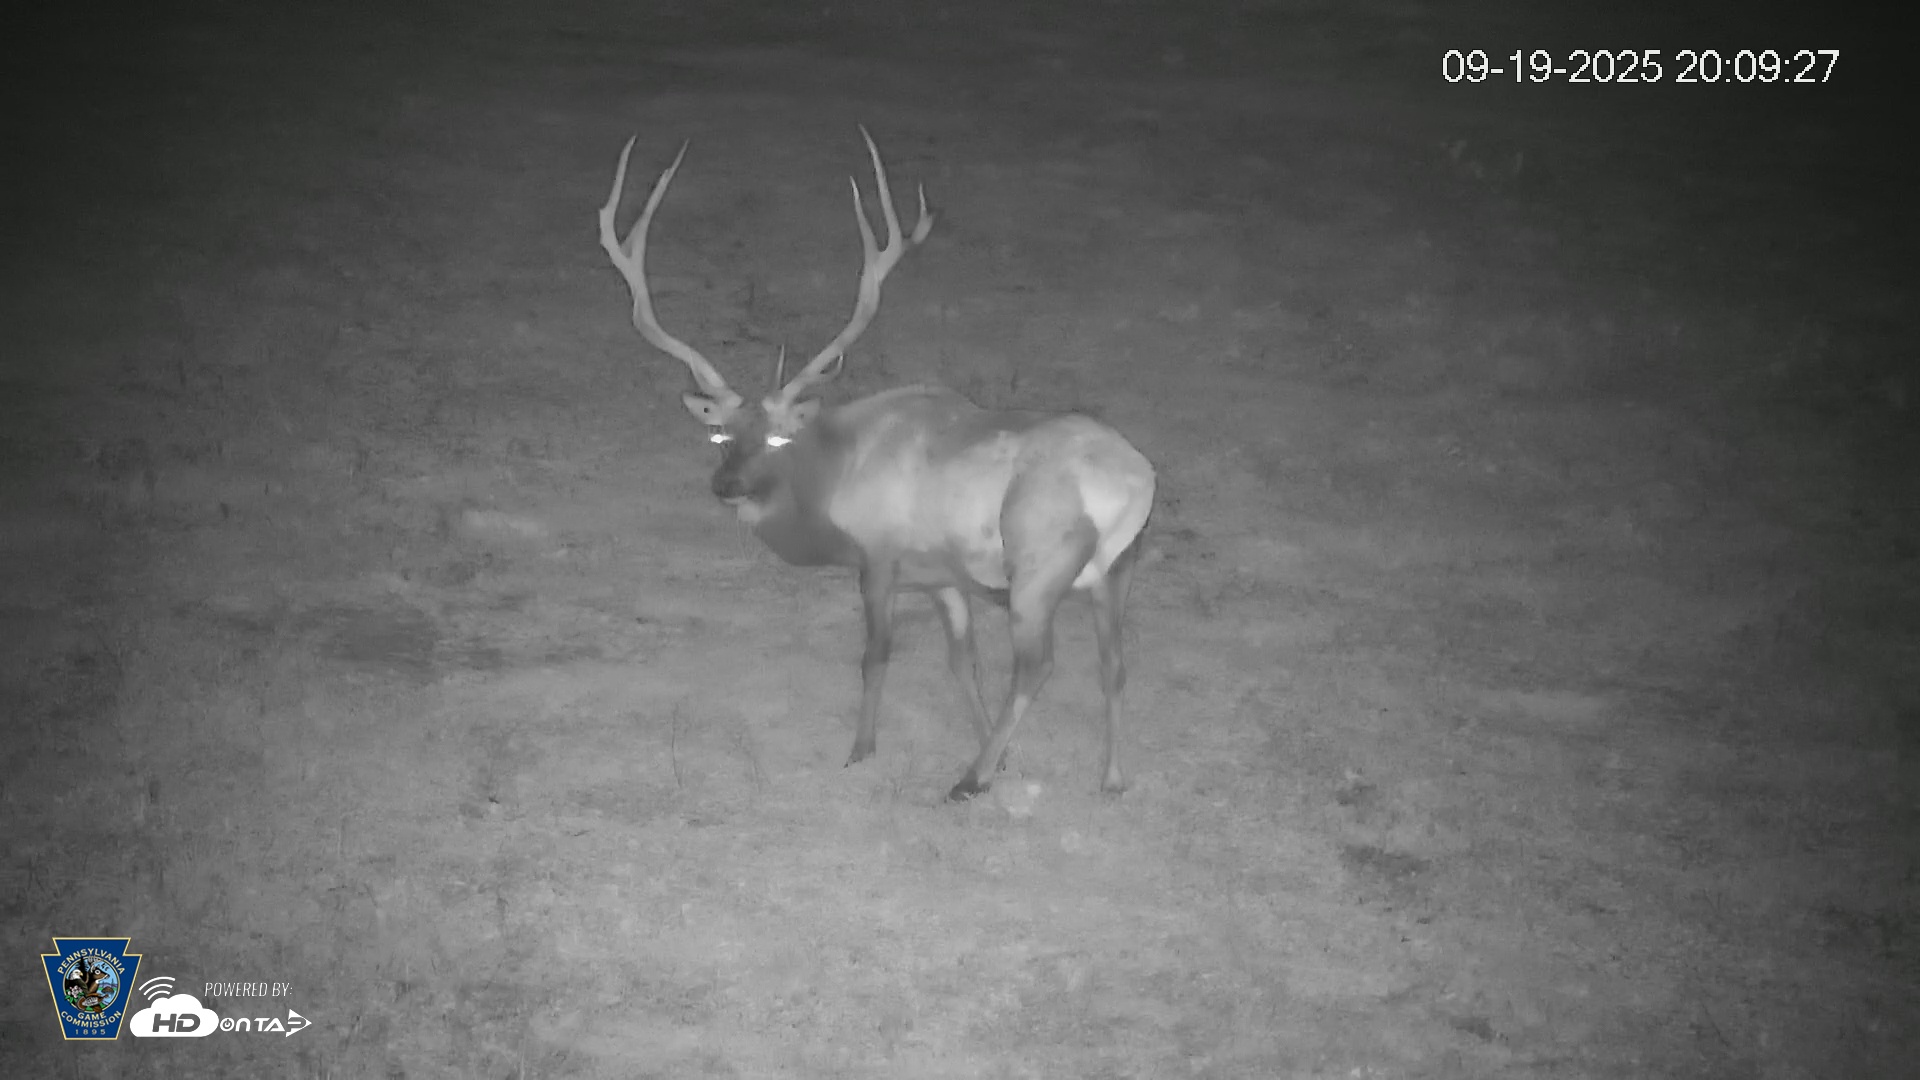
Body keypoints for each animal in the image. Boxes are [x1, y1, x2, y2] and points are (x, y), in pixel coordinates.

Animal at [597, 127, 1155, 801]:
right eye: (718, 434)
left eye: (779, 439)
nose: (726, 485)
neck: (833, 481)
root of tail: (1137, 483)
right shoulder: (942, 576)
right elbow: (961, 662)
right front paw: (994, 751)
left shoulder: (880, 557)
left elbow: (877, 656)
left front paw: (862, 750)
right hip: (1116, 570)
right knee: (1114, 663)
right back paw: (1111, 776)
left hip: (1039, 564)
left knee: (1038, 664)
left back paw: (969, 780)